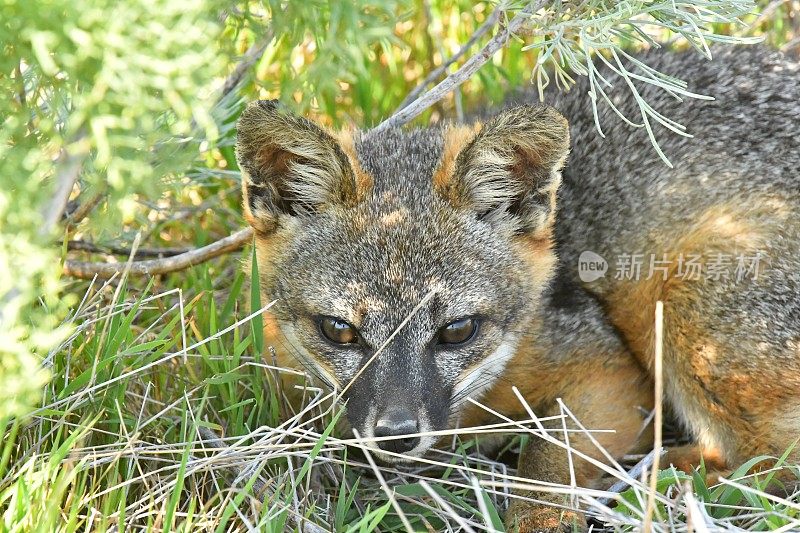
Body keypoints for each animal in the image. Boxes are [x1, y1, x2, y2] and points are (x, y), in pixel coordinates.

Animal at [234, 46, 796, 532]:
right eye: (339, 331)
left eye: (457, 330)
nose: (396, 435)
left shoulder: (610, 374)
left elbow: (548, 452)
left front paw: (540, 515)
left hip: (679, 310)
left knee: (772, 466)